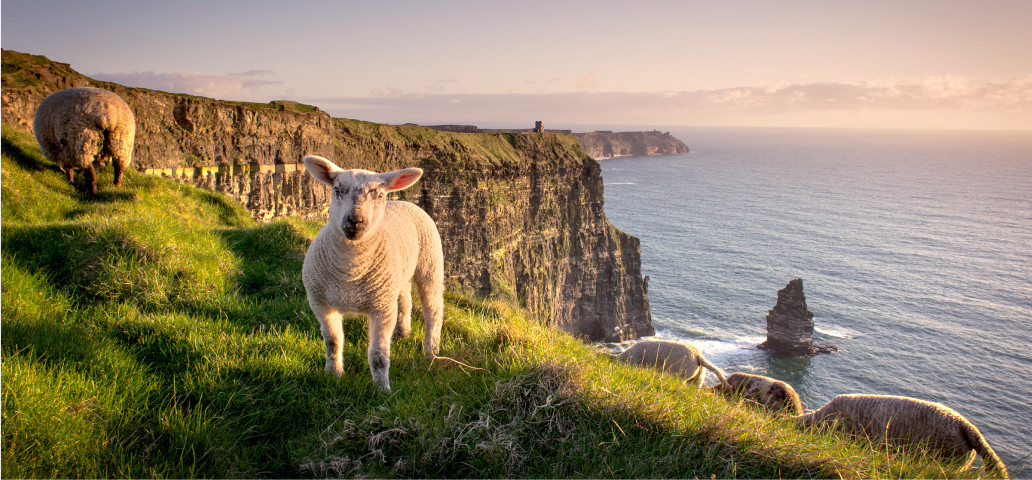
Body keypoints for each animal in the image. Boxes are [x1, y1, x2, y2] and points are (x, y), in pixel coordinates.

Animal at [301, 155, 445, 392]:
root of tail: (403, 201)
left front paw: (382, 390)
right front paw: (333, 374)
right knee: (405, 300)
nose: (355, 221)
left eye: (379, 195)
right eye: (337, 189)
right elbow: (332, 342)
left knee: (433, 309)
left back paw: (431, 350)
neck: (350, 272)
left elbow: (379, 355)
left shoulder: (382, 309)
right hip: (396, 276)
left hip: (430, 264)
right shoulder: (321, 304)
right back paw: (403, 333)